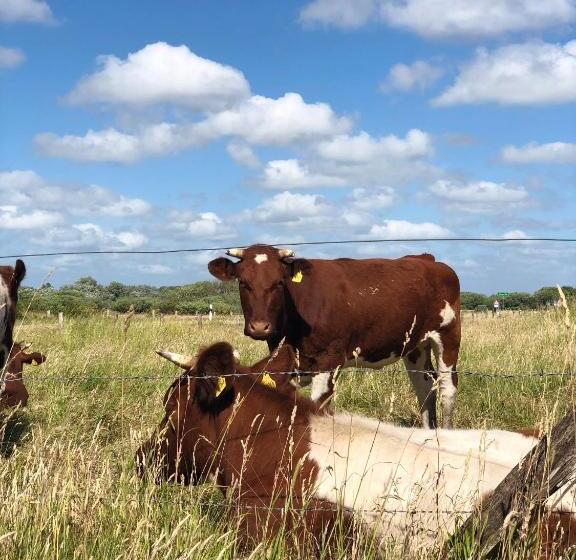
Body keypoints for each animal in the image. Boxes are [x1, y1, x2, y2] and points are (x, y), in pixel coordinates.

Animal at [209, 245, 462, 428]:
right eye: (243, 283)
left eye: (279, 283)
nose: (260, 327)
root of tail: (426, 259)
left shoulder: (328, 360)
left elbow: (319, 408)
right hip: (415, 346)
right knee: (424, 385)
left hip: (448, 336)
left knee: (447, 387)